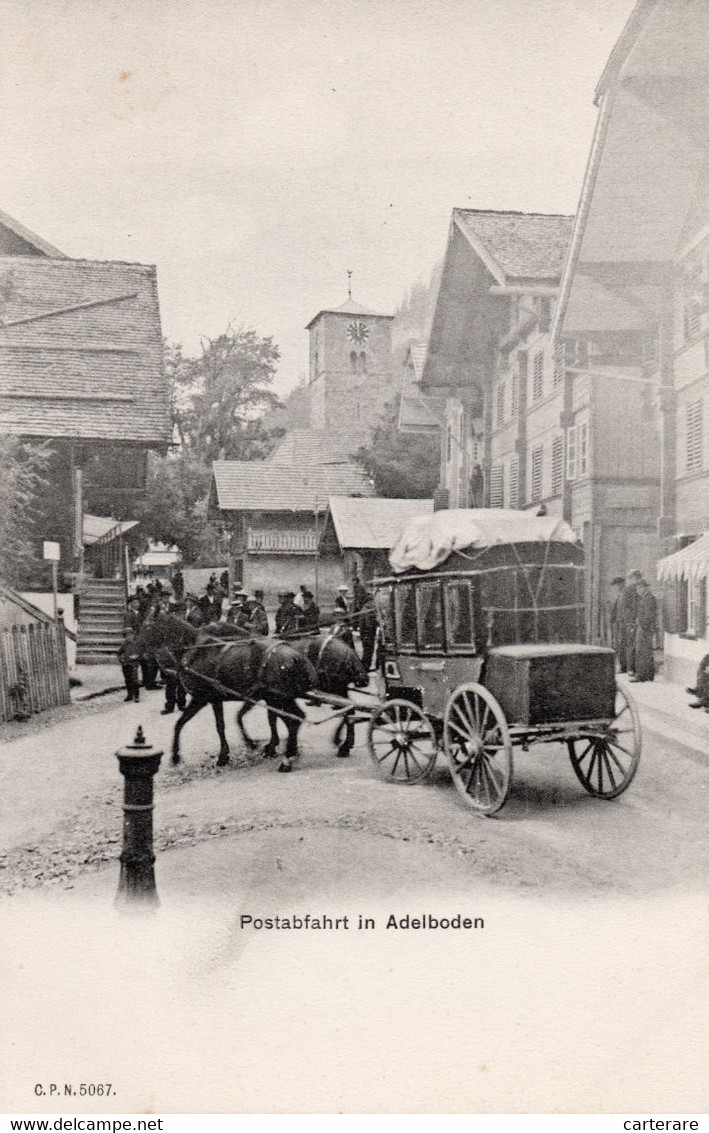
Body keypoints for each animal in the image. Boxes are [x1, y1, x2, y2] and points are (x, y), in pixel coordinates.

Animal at [138, 616, 314, 774]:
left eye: (146, 628)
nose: (132, 655)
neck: (194, 650)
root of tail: (297, 657)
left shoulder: (204, 698)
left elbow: (217, 725)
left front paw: (222, 756)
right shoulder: (223, 698)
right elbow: (183, 723)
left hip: (277, 698)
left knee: (293, 720)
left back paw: (287, 759)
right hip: (281, 697)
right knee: (296, 717)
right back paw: (289, 752)